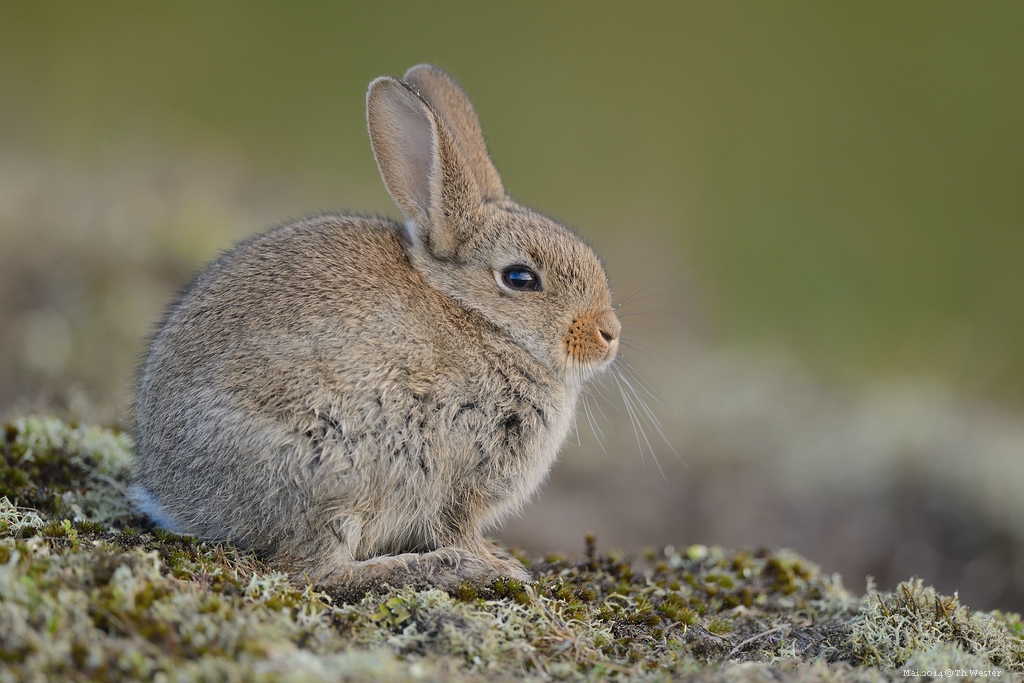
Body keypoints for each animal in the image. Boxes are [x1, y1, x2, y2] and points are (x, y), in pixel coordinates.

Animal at [132, 65, 618, 598]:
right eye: (520, 278)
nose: (609, 333)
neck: (483, 322)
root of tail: (178, 498)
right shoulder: (458, 475)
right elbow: (454, 526)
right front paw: (497, 565)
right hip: (333, 470)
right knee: (314, 571)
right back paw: (438, 568)